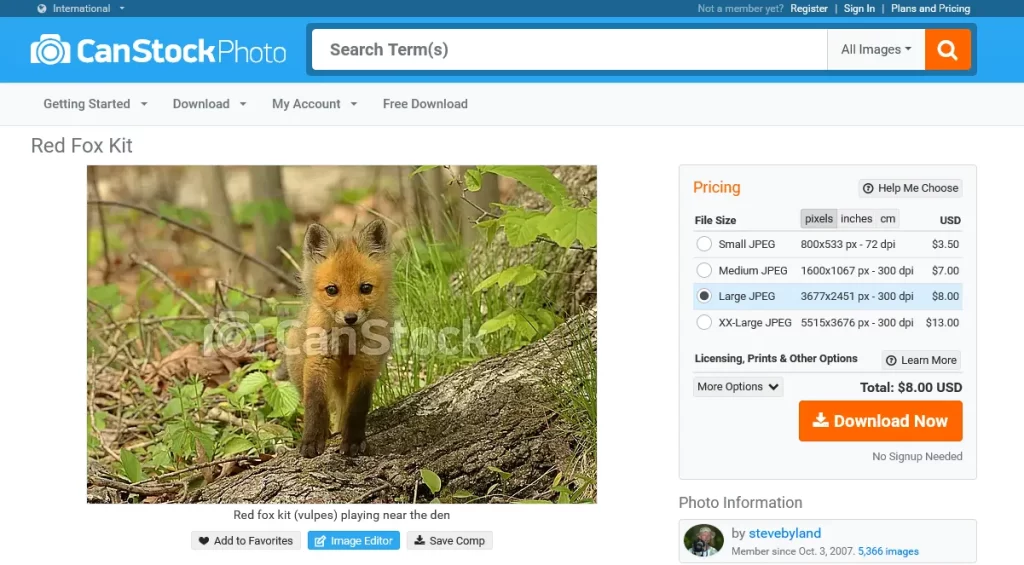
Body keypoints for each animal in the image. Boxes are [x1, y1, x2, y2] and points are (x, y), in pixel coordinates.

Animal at [273, 219, 394, 458]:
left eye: (365, 288)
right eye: (332, 290)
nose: (350, 317)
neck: (347, 340)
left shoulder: (366, 364)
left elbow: (356, 408)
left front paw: (354, 441)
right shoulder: (319, 360)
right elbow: (316, 405)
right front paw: (312, 440)